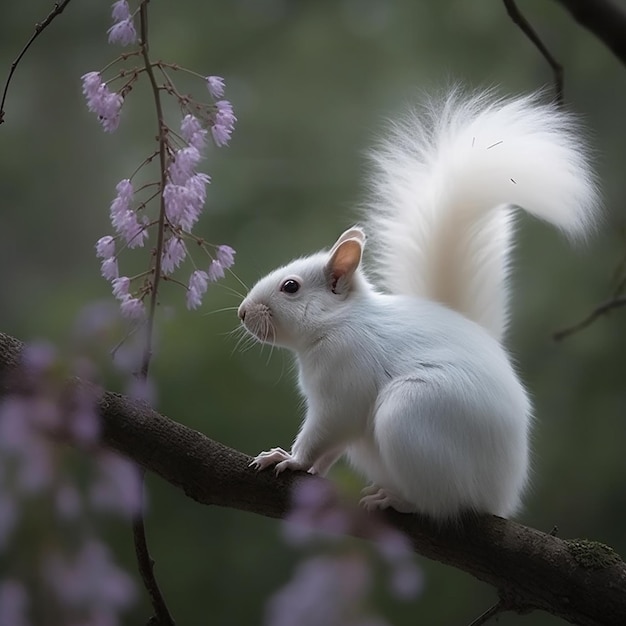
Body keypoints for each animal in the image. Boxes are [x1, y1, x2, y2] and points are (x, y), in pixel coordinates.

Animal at [236, 88, 596, 516]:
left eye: (290, 287)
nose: (242, 313)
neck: (339, 323)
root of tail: (501, 495)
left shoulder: (343, 385)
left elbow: (324, 431)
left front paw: (290, 460)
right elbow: (332, 447)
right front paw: (308, 469)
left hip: (410, 415)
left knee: (441, 503)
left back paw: (397, 499)